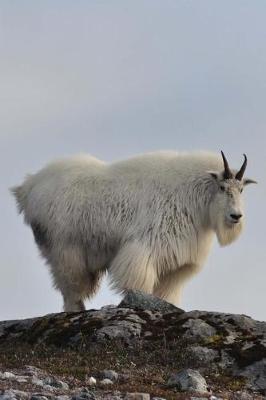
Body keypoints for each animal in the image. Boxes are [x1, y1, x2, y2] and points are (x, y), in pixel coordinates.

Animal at [11, 152, 256, 310]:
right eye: (222, 187)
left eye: (242, 189)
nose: (236, 216)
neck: (192, 195)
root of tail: (27, 188)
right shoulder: (146, 247)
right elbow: (139, 283)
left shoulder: (177, 263)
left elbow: (167, 293)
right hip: (65, 248)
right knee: (71, 287)